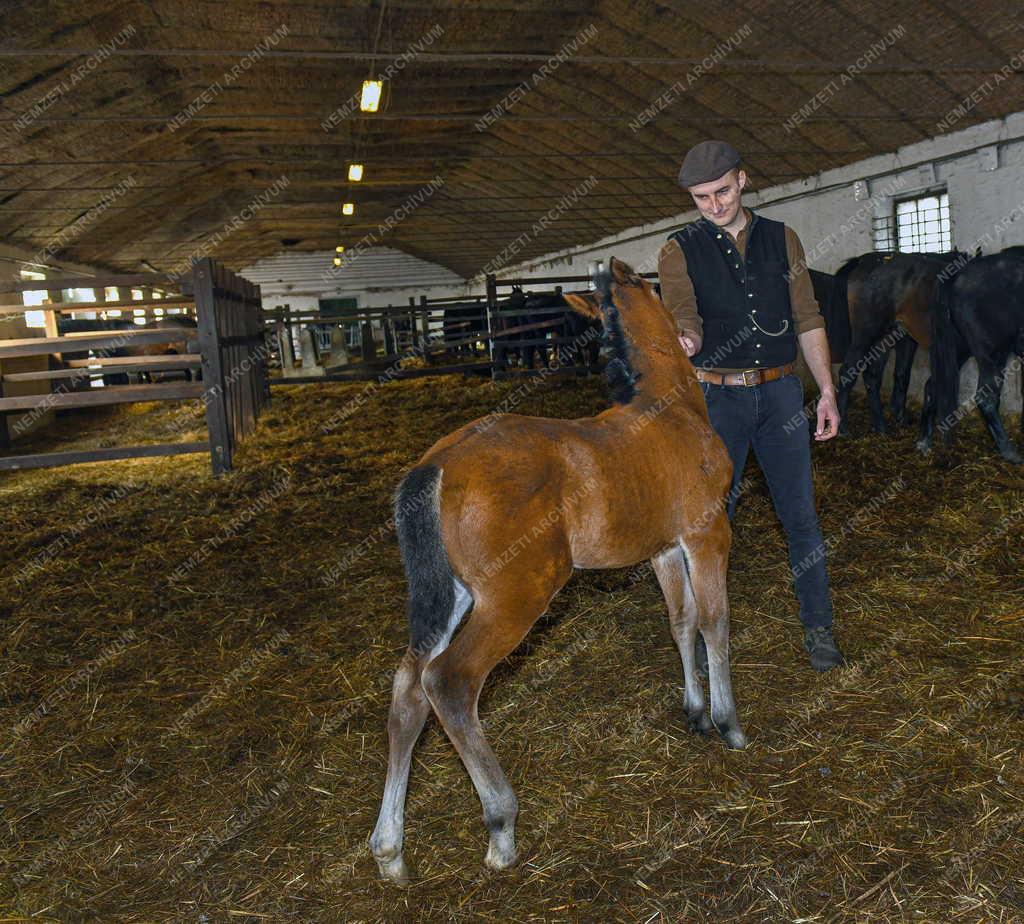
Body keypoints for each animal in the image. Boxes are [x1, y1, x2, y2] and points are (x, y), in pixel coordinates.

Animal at [368, 257, 745, 885]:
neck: (669, 408)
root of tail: (437, 463)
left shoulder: (664, 549)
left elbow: (682, 620)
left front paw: (694, 711)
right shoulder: (706, 533)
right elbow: (715, 621)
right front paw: (728, 722)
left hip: (452, 595)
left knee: (408, 690)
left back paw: (390, 850)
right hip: (516, 594)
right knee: (448, 682)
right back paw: (501, 826)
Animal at [921, 250, 1024, 463]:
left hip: (957, 349)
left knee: (933, 386)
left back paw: (924, 443)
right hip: (992, 354)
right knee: (986, 398)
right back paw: (1011, 453)